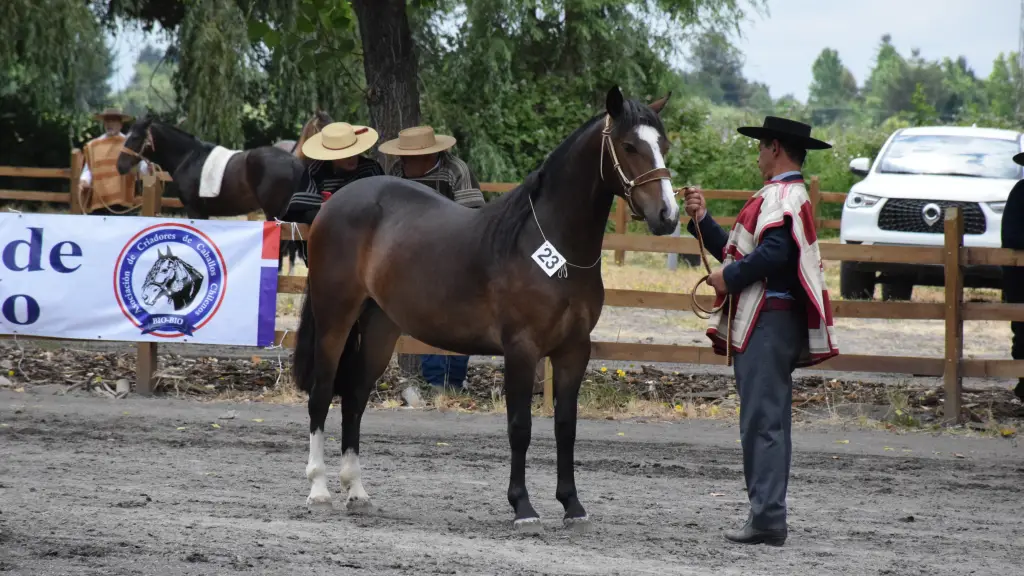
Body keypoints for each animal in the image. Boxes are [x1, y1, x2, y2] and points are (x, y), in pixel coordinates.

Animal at [116, 115, 305, 222]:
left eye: (136, 137)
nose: (120, 165)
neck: (188, 158)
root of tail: (293, 161)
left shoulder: (195, 211)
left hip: (274, 213)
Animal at [291, 86, 679, 531]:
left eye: (664, 144)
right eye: (629, 146)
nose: (668, 216)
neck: (550, 247)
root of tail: (334, 203)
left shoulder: (573, 350)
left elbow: (566, 426)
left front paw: (572, 506)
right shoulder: (521, 349)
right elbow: (520, 427)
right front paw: (523, 508)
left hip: (379, 327)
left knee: (354, 397)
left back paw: (356, 492)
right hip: (335, 319)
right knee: (322, 394)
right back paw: (319, 490)